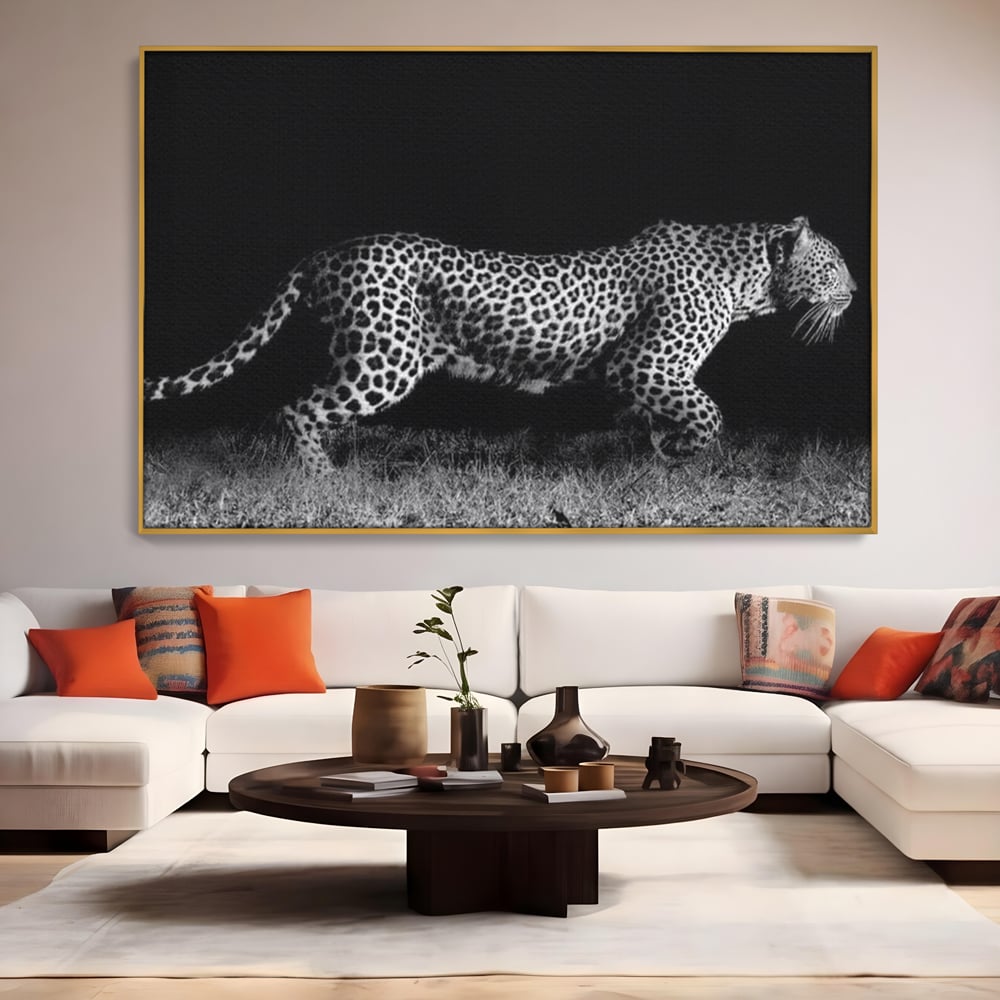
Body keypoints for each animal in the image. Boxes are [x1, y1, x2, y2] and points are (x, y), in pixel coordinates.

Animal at [144, 215, 856, 474]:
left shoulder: (654, 376)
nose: (854, 291)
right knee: (299, 408)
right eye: (835, 264)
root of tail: (328, 251)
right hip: (386, 359)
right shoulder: (645, 363)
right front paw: (685, 454)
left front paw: (660, 461)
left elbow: (668, 418)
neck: (749, 282)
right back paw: (325, 484)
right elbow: (708, 412)